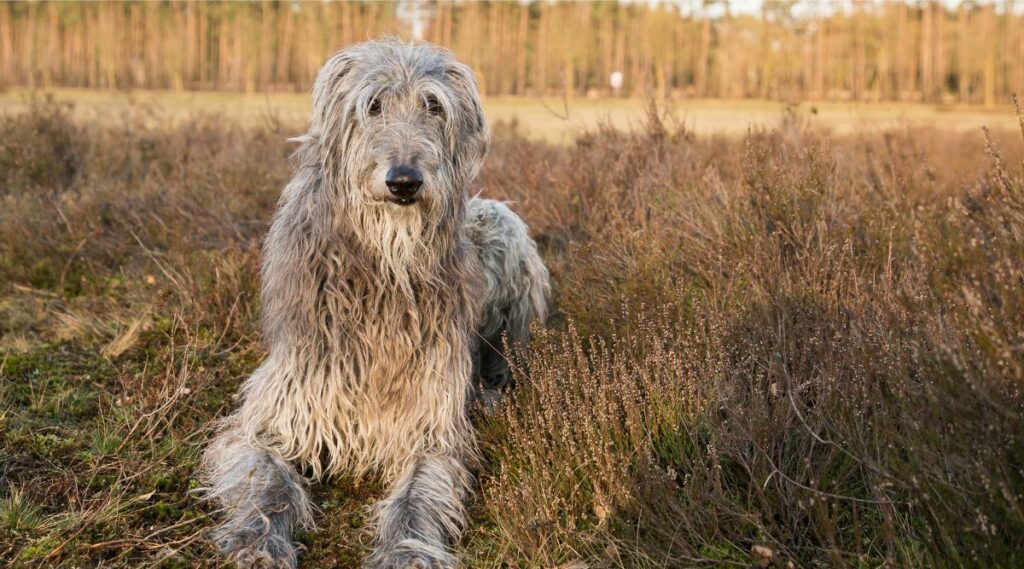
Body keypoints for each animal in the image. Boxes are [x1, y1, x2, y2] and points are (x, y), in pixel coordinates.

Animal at [201, 37, 552, 564]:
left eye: (433, 105)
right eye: (373, 106)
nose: (404, 181)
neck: (385, 267)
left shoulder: (430, 428)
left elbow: (418, 496)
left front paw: (407, 551)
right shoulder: (277, 413)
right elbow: (266, 481)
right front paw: (258, 541)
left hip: (502, 228)